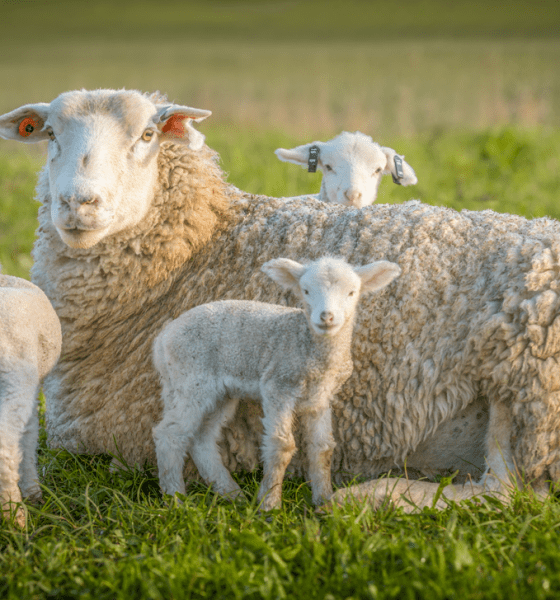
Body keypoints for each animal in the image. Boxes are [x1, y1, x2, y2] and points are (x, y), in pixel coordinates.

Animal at [151, 255, 400, 508]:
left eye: (351, 292)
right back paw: (175, 500)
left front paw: (323, 501)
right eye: (306, 290)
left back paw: (233, 495)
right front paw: (269, 503)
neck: (309, 347)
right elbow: (282, 445)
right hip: (191, 378)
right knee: (170, 435)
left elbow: (323, 448)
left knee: (202, 440)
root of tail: (163, 338)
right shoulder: (278, 386)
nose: (326, 317)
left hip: (214, 391)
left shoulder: (320, 398)